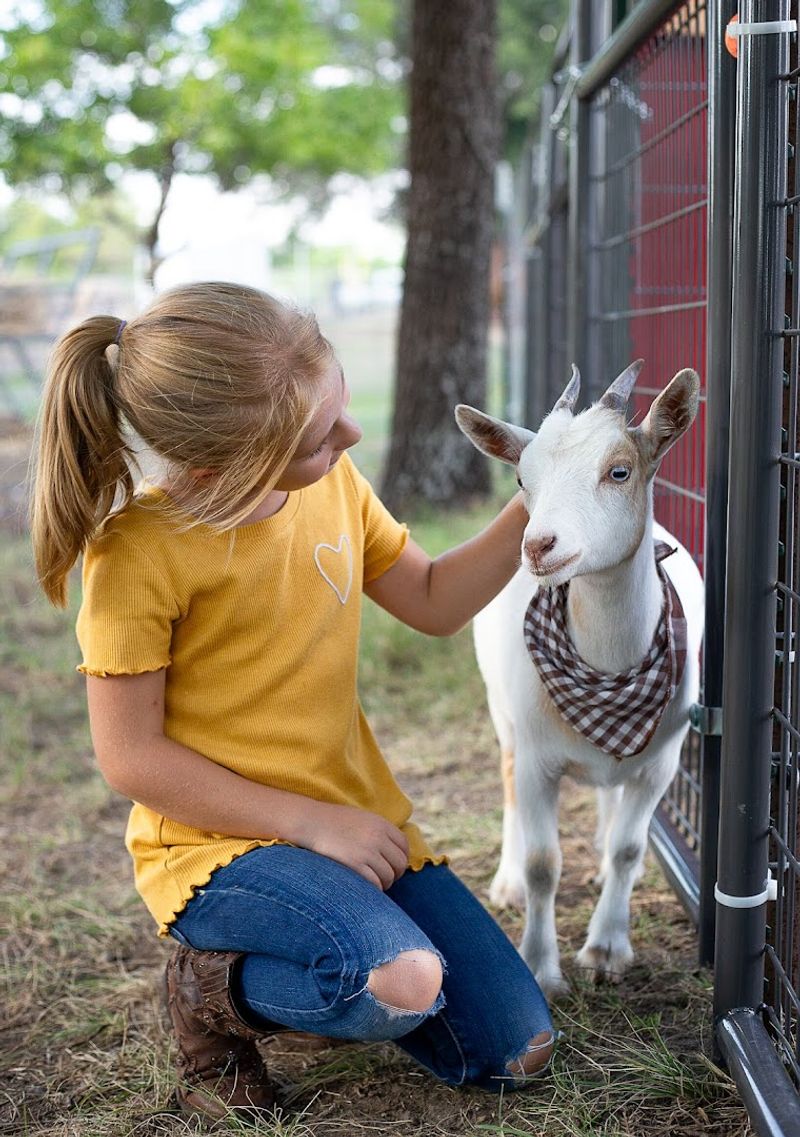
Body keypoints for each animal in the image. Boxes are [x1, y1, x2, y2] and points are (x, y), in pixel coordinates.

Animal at [455, 361, 704, 996]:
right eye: (523, 478)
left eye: (619, 470)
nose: (540, 545)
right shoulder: (540, 757)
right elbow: (544, 865)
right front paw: (542, 968)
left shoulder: (662, 760)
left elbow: (630, 848)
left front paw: (608, 949)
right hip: (500, 708)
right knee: (507, 777)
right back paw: (507, 882)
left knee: (609, 801)